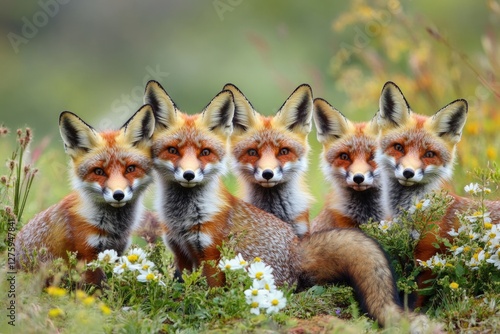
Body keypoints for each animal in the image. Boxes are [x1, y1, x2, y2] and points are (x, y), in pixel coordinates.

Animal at [14, 105, 155, 284]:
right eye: (99, 171)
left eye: (130, 169)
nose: (118, 195)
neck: (114, 228)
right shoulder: (87, 254)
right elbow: (98, 288)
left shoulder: (117, 250)